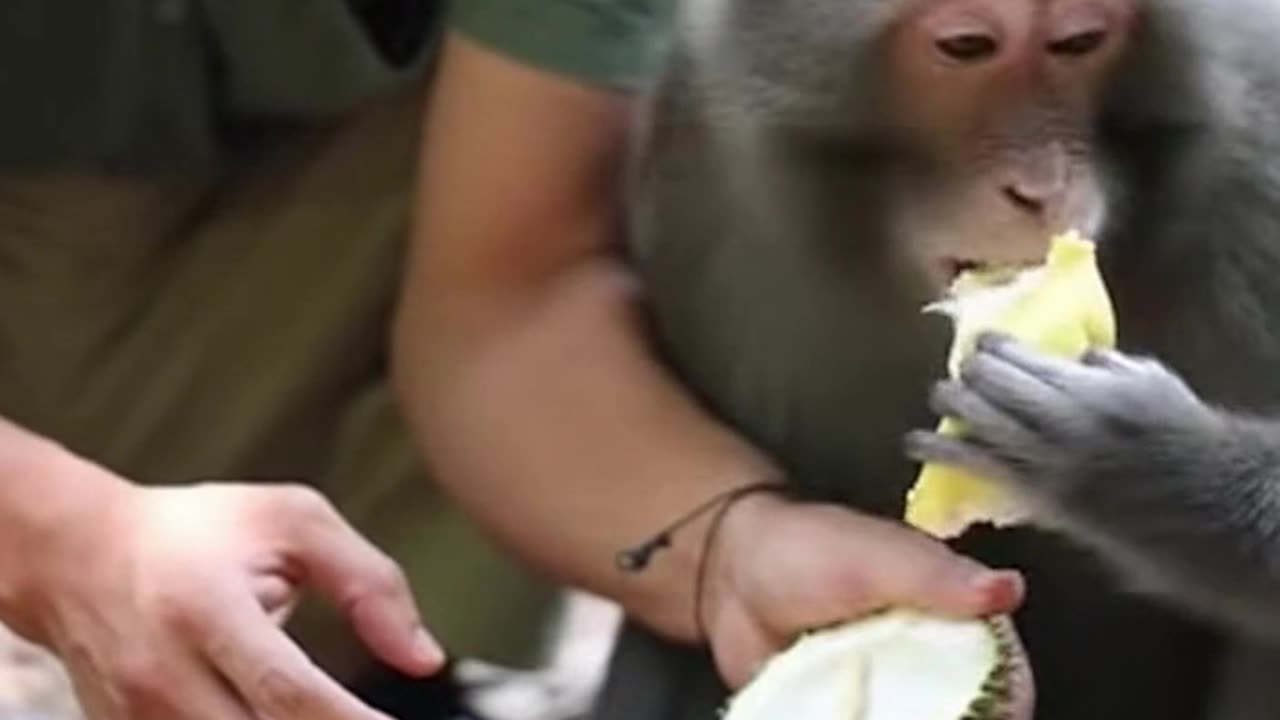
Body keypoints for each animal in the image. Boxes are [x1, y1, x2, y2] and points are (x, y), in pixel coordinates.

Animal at [589, 0, 1280, 718]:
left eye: (1080, 42)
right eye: (967, 46)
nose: (1042, 188)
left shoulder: (1260, 181)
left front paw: (1136, 458)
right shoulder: (698, 172)